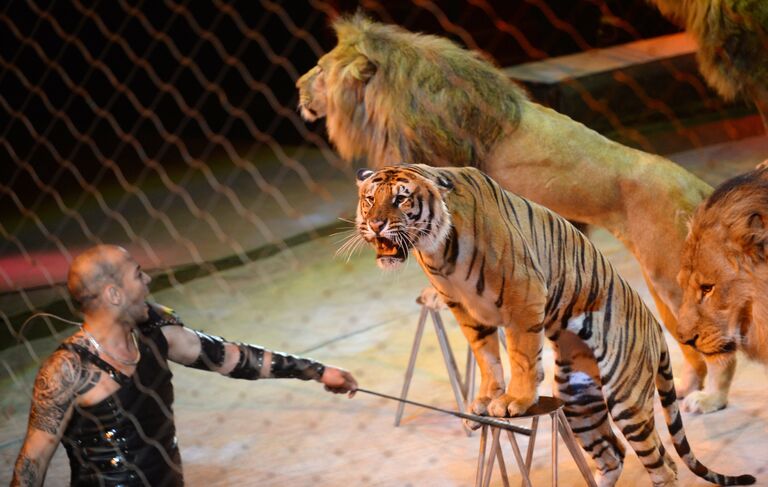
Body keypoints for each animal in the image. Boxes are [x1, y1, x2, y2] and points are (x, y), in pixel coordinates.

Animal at [296, 14, 736, 412]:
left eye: (319, 69)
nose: (298, 87)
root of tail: (695, 185)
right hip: (661, 280)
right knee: (687, 344)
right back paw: (685, 386)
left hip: (671, 276)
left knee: (720, 347)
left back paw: (711, 399)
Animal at [356, 165, 756, 487]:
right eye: (370, 199)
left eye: (401, 199)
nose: (375, 224)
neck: (437, 250)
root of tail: (655, 326)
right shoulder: (466, 311)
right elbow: (486, 357)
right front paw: (485, 400)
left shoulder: (523, 294)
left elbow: (519, 354)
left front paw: (514, 400)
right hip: (578, 398)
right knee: (613, 454)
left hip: (626, 399)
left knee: (662, 464)